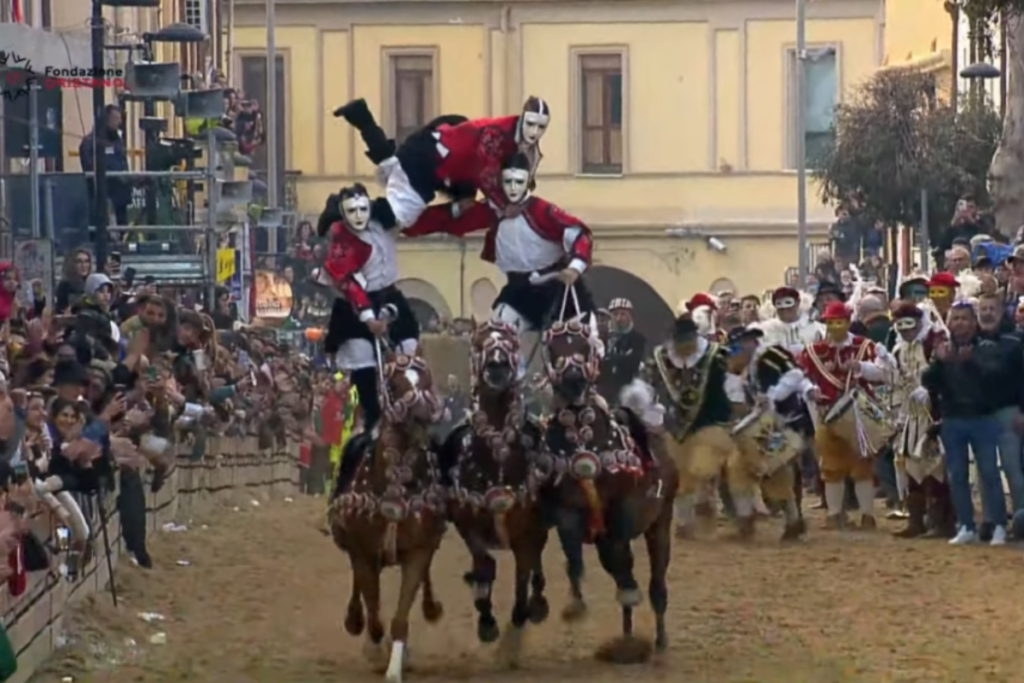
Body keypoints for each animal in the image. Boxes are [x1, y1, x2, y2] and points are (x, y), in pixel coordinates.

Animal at [329, 348, 446, 683]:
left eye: (426, 378)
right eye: (394, 384)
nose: (421, 411)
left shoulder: (417, 553)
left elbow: (400, 617)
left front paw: (395, 666)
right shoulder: (364, 554)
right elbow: (375, 617)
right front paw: (377, 651)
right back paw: (355, 621)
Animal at [440, 323, 552, 663]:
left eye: (510, 343)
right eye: (480, 343)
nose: (497, 367)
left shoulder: (529, 527)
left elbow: (525, 566)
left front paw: (522, 611)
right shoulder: (468, 524)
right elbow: (485, 566)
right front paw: (486, 620)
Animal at [536, 321, 679, 663]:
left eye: (584, 346)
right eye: (554, 348)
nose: (573, 380)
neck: (583, 442)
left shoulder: (624, 512)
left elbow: (622, 557)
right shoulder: (567, 512)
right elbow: (575, 557)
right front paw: (575, 605)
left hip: (661, 521)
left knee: (657, 581)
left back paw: (657, 638)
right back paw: (626, 638)